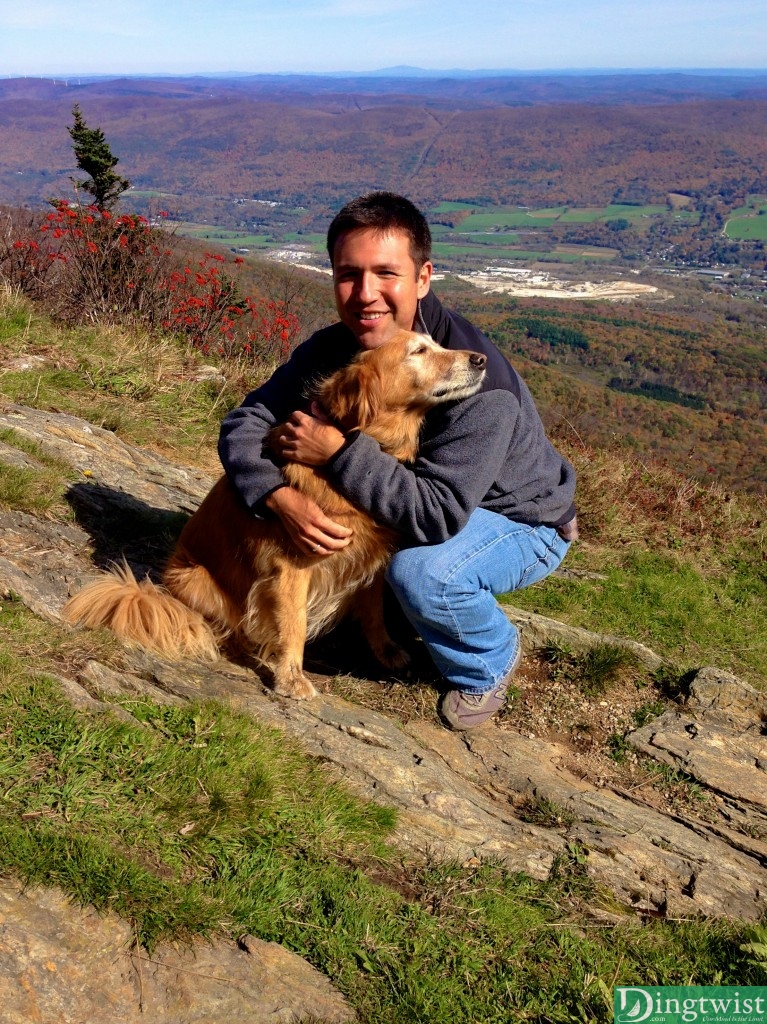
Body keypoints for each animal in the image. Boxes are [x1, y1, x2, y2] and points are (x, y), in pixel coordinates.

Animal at [64, 331, 485, 700]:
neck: (369, 445)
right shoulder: (292, 564)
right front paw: (291, 678)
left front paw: (386, 651)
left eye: (436, 343)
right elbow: (293, 624)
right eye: (419, 351)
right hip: (198, 581)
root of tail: (159, 592)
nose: (481, 359)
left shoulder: (369, 556)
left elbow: (373, 610)